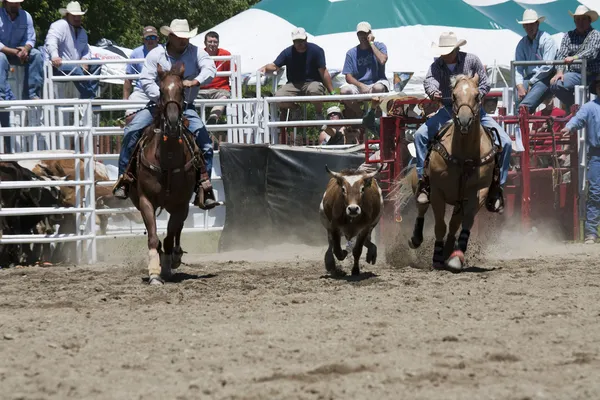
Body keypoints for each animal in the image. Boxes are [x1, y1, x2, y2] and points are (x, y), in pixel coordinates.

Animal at [129, 63, 199, 284]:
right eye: (160, 90)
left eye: (182, 90)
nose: (173, 122)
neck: (167, 157)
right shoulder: (145, 201)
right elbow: (153, 237)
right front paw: (154, 272)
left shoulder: (180, 204)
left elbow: (169, 236)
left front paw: (167, 267)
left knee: (177, 230)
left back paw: (175, 256)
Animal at [406, 72, 500, 272]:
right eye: (454, 96)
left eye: (477, 96)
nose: (464, 121)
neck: (464, 153)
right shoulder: (437, 193)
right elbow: (440, 226)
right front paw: (436, 257)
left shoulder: (478, 192)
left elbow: (466, 223)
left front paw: (456, 258)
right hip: (420, 188)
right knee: (421, 207)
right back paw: (416, 239)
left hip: (459, 201)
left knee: (454, 224)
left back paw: (448, 251)